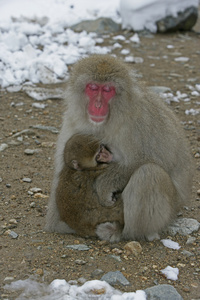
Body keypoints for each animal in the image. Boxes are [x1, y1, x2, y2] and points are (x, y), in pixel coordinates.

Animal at [45, 54, 192, 241]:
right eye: (93, 88)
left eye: (108, 90)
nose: (98, 105)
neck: (110, 120)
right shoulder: (73, 120)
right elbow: (63, 168)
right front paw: (58, 222)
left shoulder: (138, 123)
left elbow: (143, 161)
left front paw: (103, 185)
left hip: (170, 209)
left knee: (149, 174)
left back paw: (122, 232)